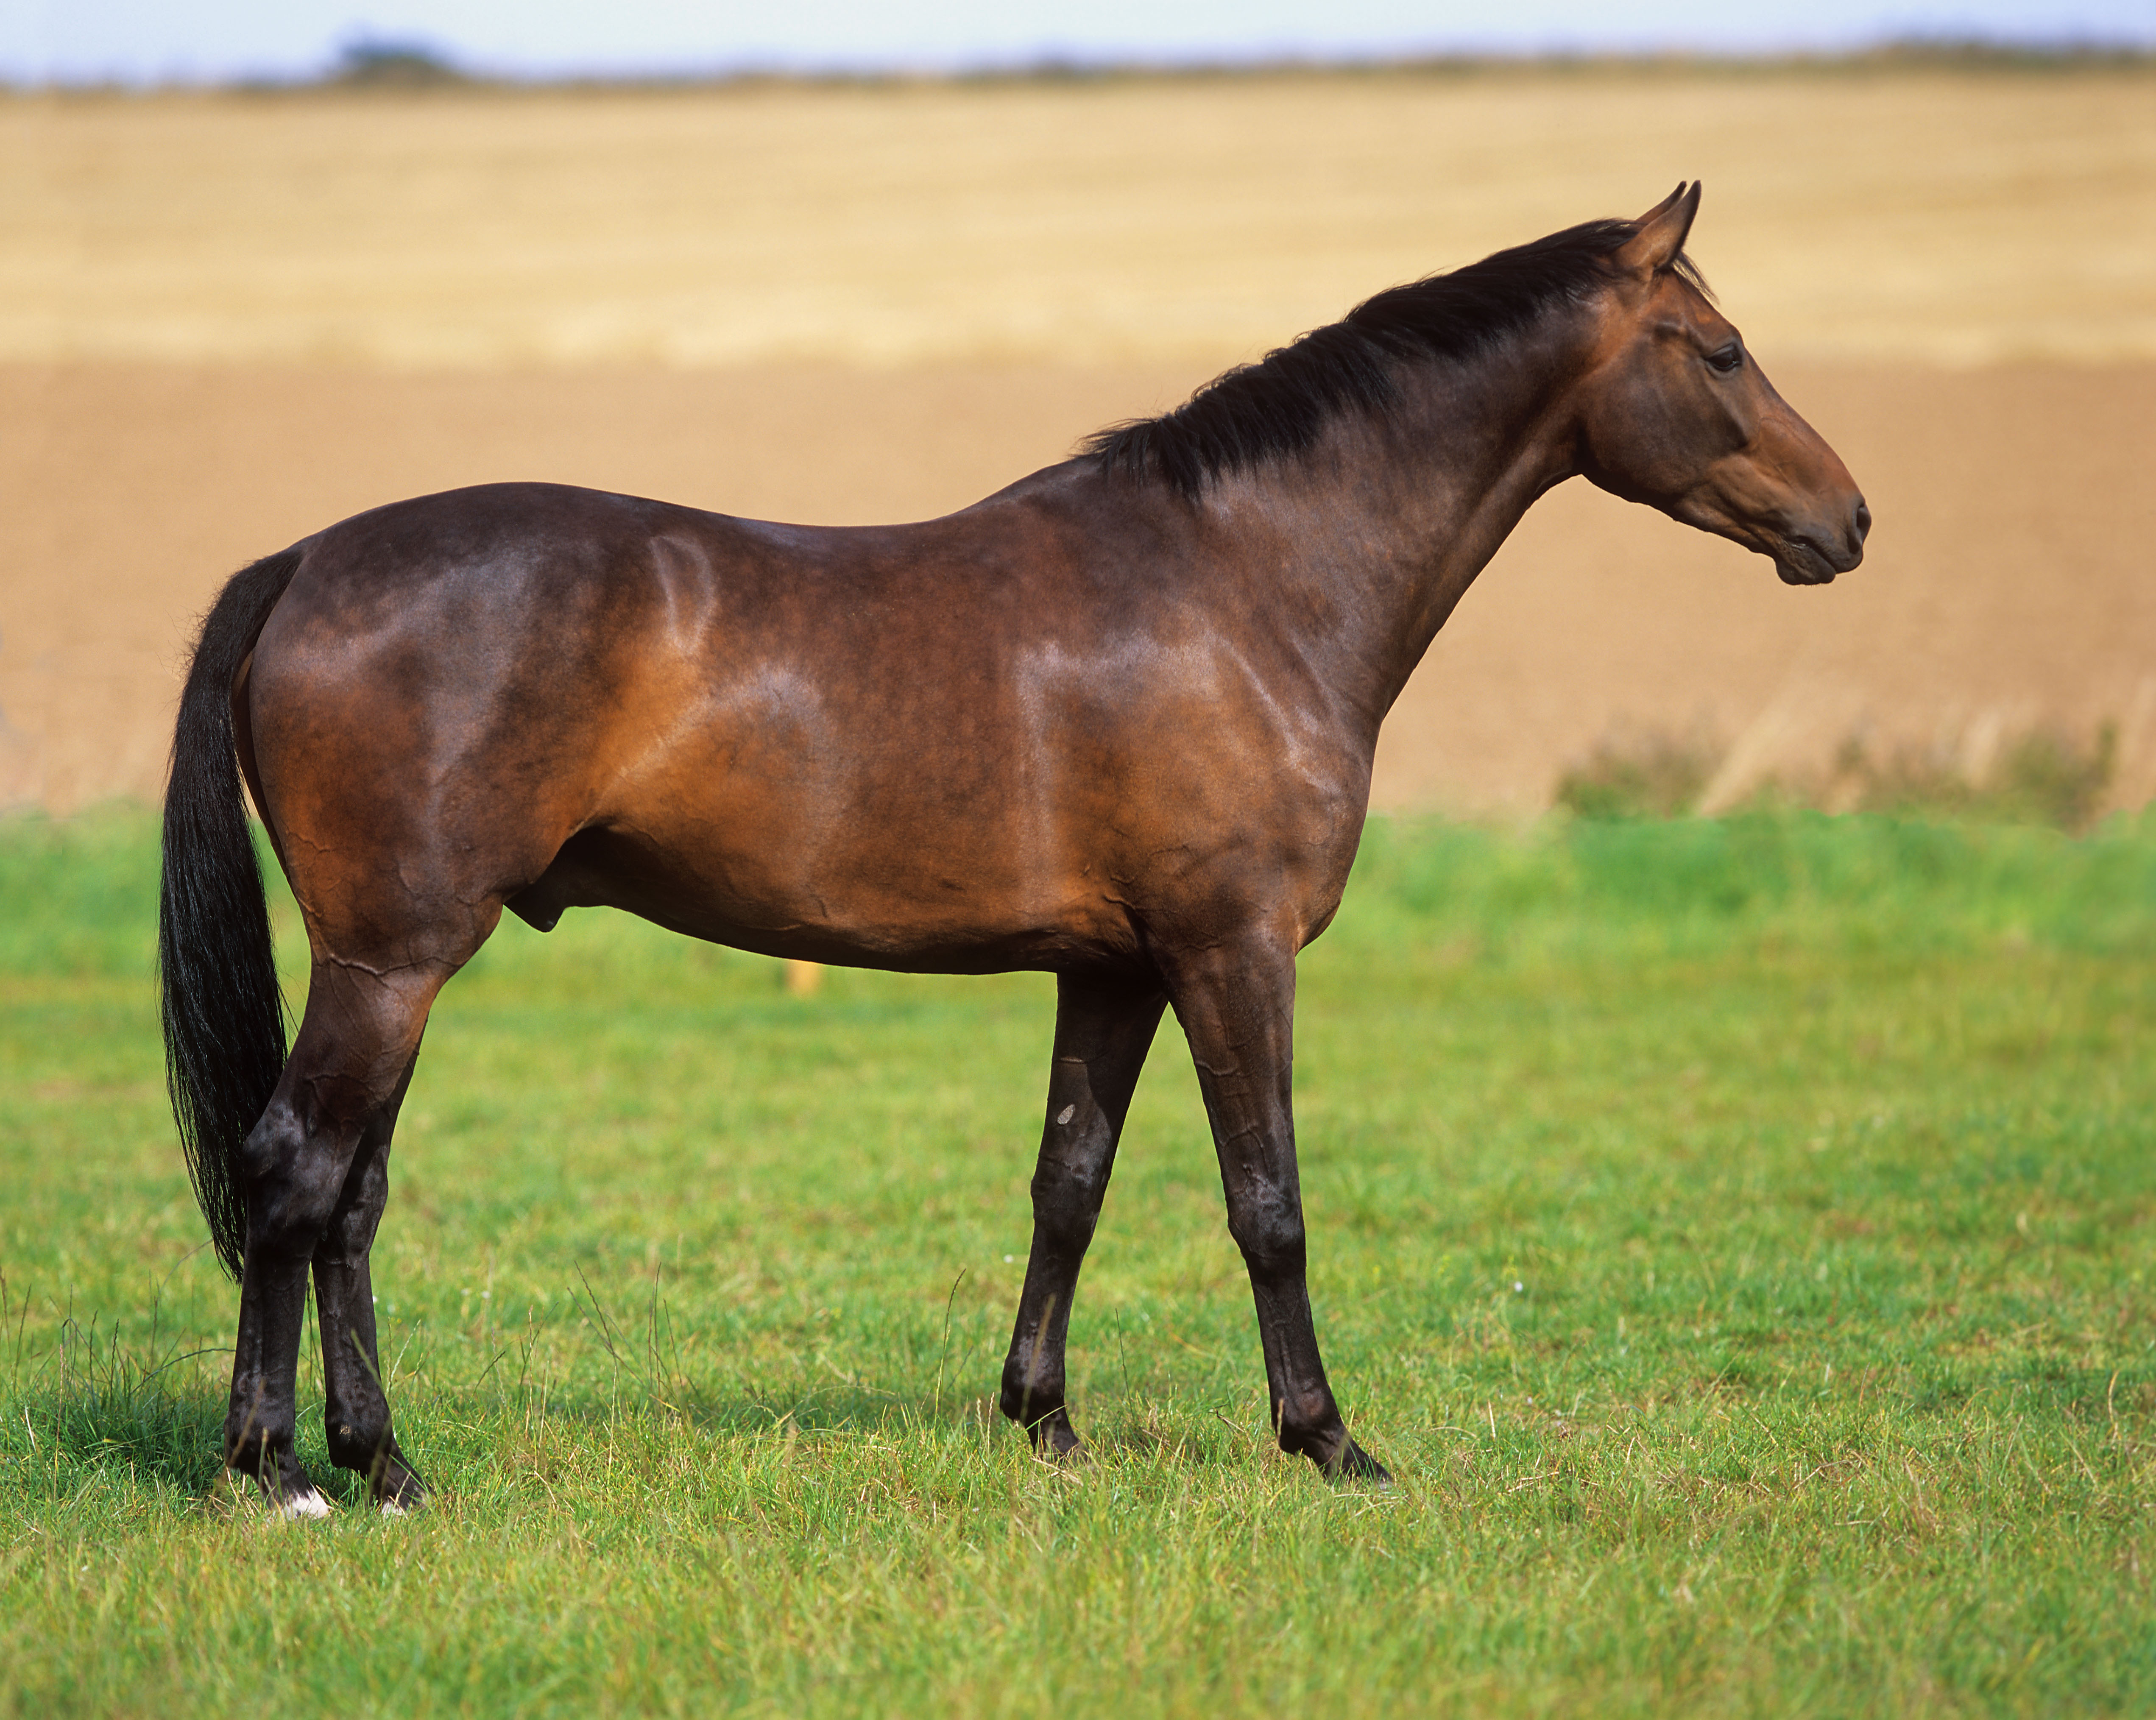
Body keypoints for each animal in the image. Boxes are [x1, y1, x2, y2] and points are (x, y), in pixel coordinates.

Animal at [159, 182, 1863, 1517]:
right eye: (1720, 350)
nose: (1847, 521)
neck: (1243, 583)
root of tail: (305, 560)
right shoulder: (1230, 949)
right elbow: (1269, 1200)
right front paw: (1329, 1441)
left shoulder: (1114, 966)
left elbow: (1070, 1181)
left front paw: (1045, 1420)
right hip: (389, 960)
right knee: (292, 1168)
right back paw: (281, 1468)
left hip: (395, 965)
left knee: (349, 1197)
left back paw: (384, 1460)